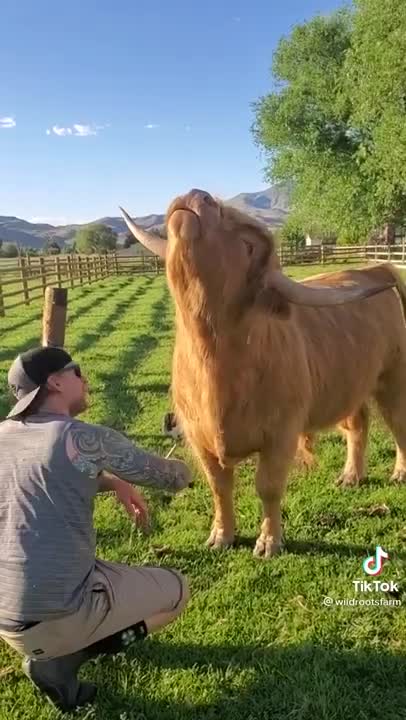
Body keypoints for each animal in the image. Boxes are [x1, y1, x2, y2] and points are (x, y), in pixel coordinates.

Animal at [120, 189, 406, 558]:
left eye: (247, 244)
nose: (198, 194)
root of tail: (374, 268)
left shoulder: (281, 434)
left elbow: (267, 487)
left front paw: (269, 541)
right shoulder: (199, 438)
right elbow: (219, 487)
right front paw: (221, 536)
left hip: (393, 378)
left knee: (398, 424)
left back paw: (399, 473)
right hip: (351, 379)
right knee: (358, 424)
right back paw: (350, 476)